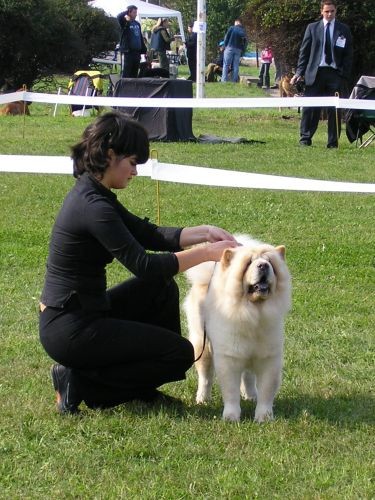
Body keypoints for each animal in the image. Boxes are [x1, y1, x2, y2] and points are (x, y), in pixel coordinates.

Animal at [184, 234, 292, 422]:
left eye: (270, 262)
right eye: (249, 263)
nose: (263, 265)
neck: (254, 312)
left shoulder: (269, 358)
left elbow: (266, 391)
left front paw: (264, 417)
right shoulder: (229, 358)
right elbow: (230, 392)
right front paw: (231, 417)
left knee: (248, 377)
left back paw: (251, 396)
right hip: (201, 344)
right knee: (205, 376)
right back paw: (202, 399)